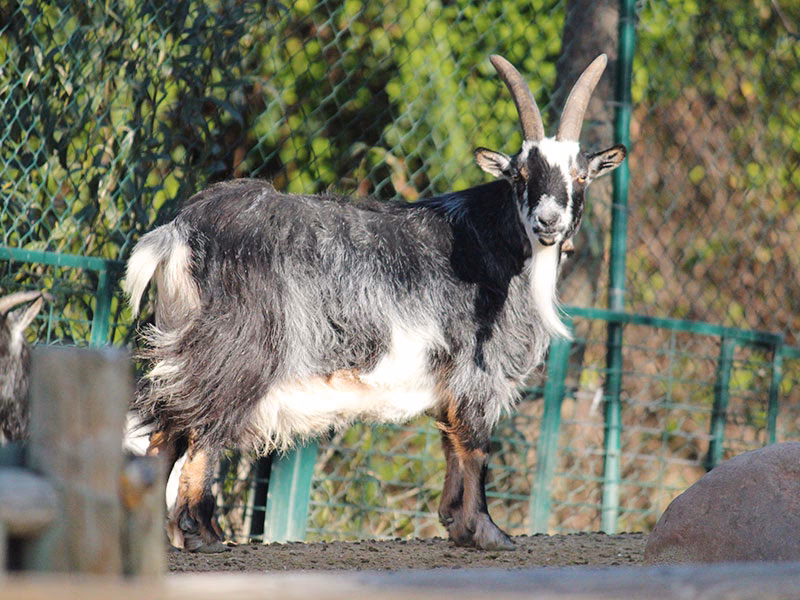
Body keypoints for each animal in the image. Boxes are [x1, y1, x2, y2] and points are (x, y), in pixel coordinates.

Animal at [125, 55, 626, 552]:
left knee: (167, 433)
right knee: (203, 428)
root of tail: (181, 231)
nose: (548, 221)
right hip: (236, 352)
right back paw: (204, 533)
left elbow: (450, 442)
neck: (496, 241)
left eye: (580, 176)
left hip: (188, 348)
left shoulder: (449, 379)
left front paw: (455, 521)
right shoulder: (477, 370)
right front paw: (488, 530)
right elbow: (475, 444)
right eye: (520, 175)